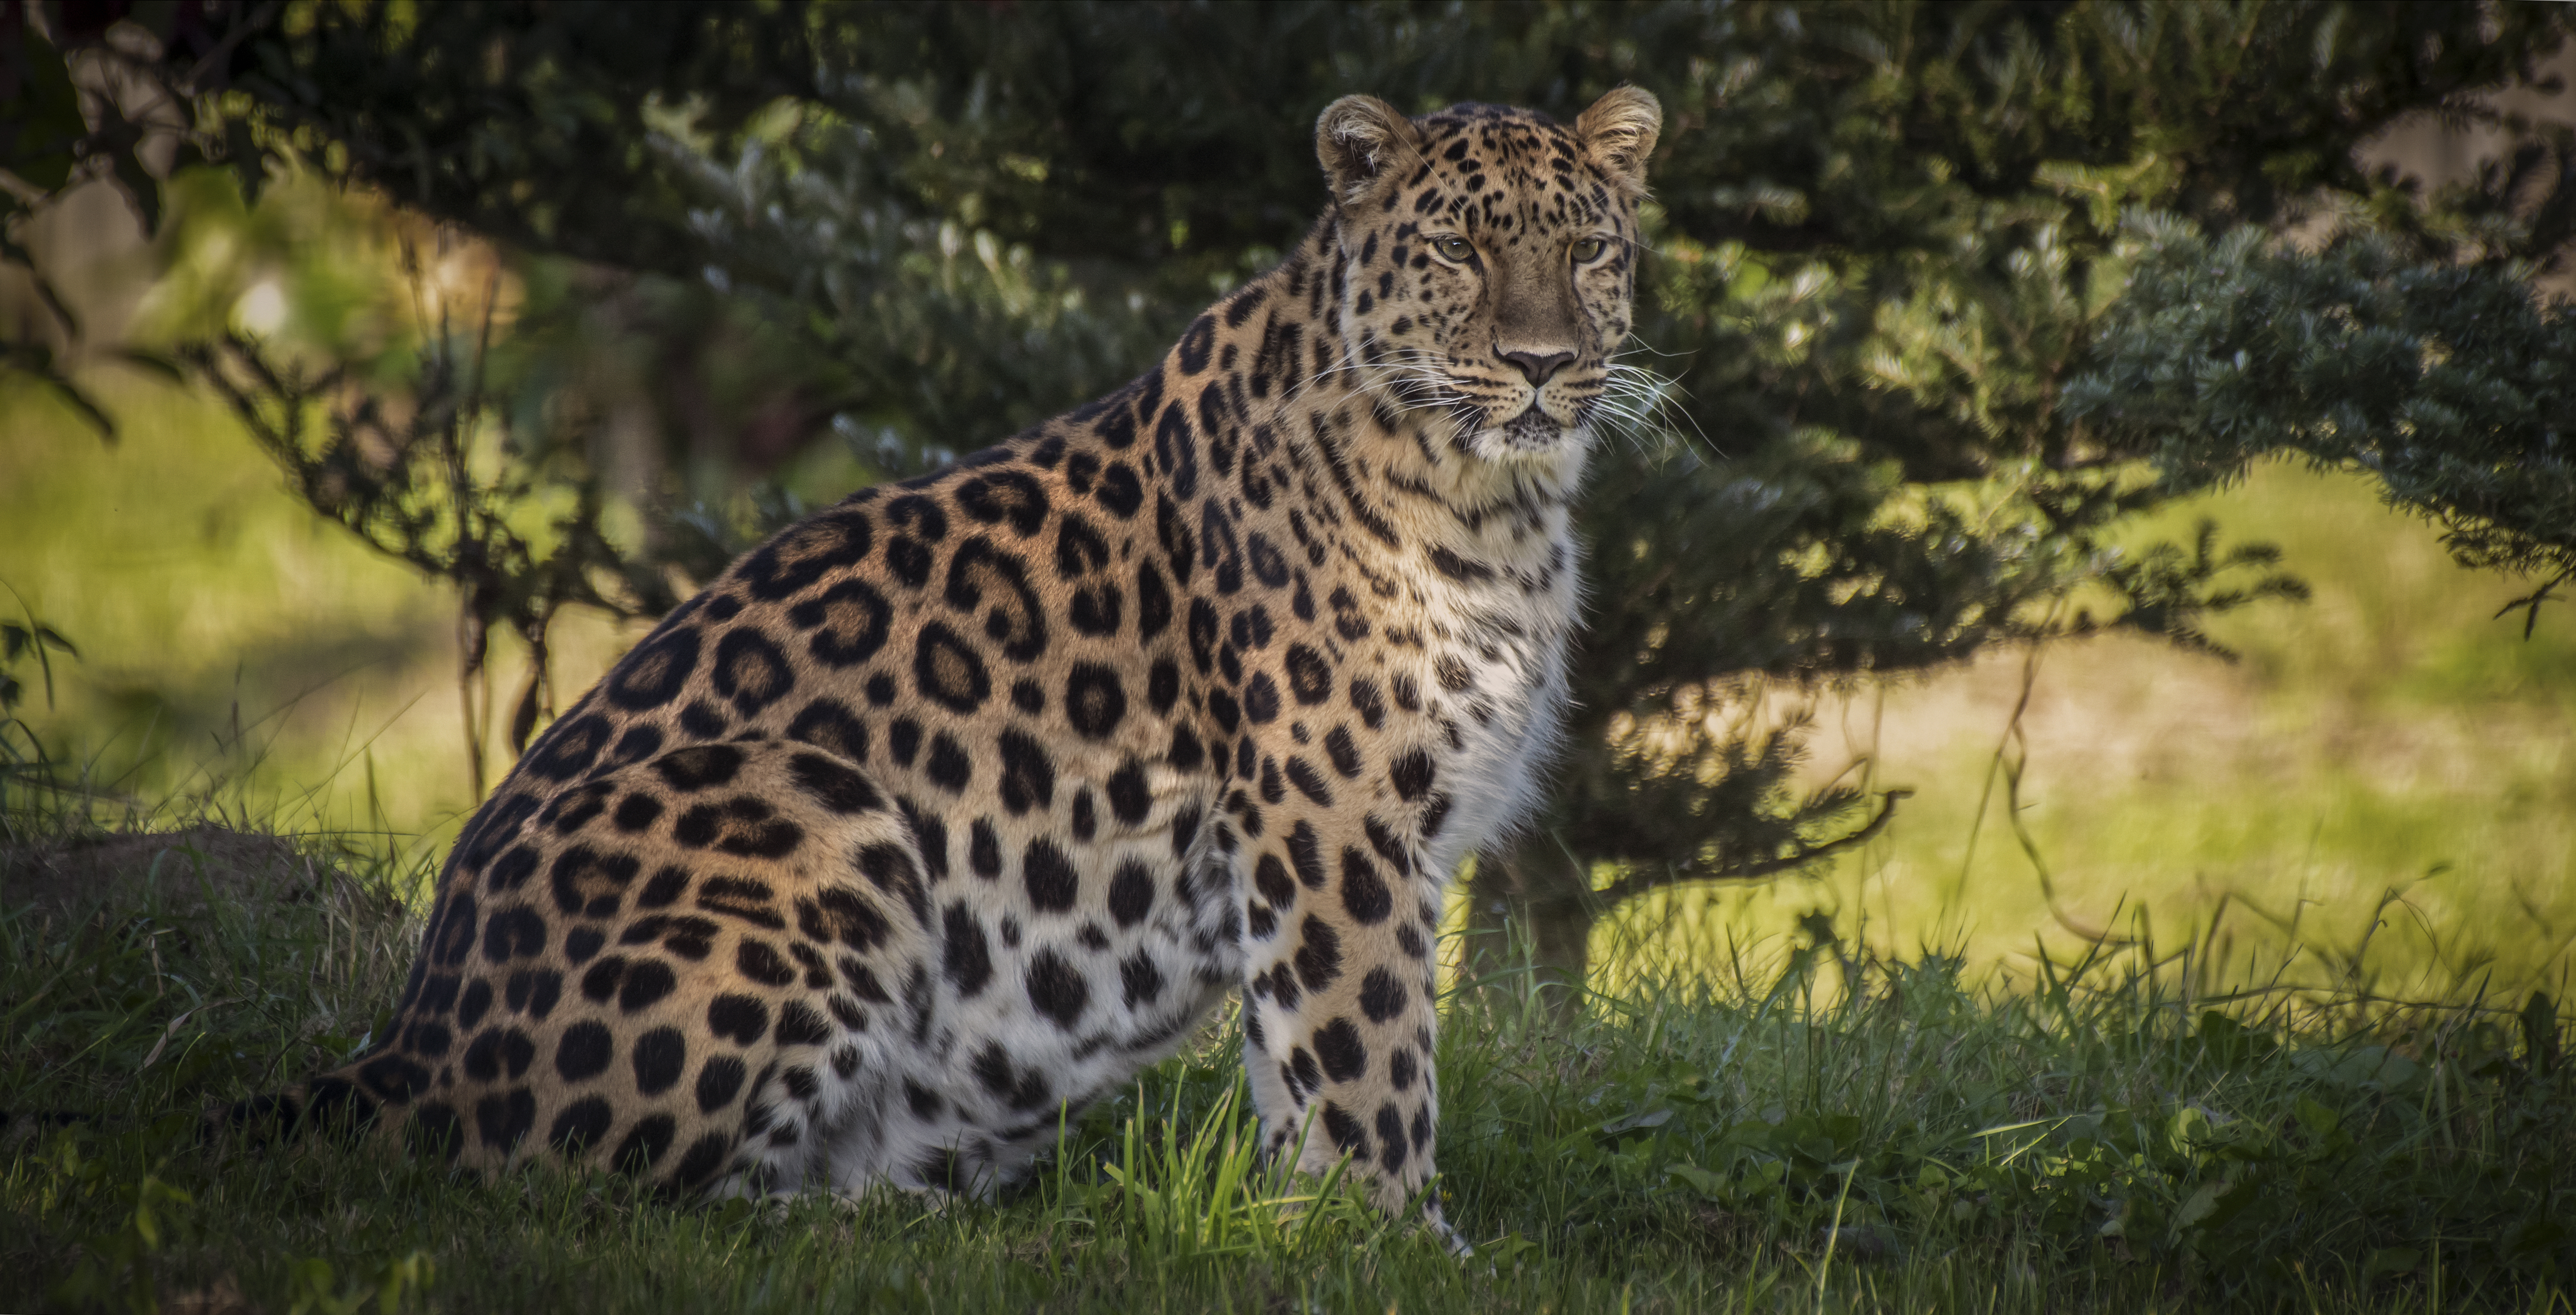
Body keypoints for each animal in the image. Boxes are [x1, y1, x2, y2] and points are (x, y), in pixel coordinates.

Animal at [242, 87, 1669, 1237]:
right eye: (1457, 248)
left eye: (1588, 250)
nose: (1543, 364)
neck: (1497, 502)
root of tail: (405, 1046)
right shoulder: (1331, 822)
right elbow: (1370, 1052)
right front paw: (1395, 1240)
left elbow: (1302, 1060)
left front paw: (1302, 1230)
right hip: (807, 807)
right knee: (607, 1194)